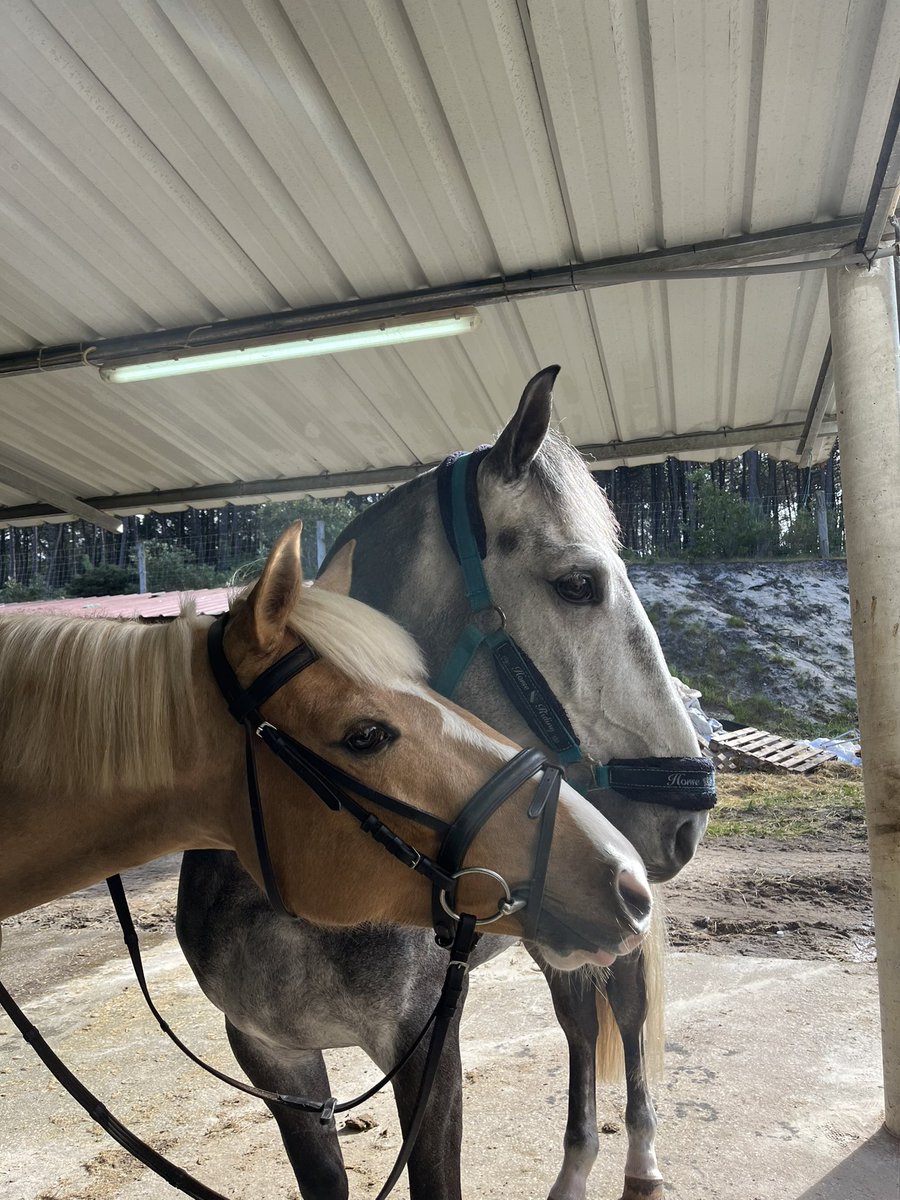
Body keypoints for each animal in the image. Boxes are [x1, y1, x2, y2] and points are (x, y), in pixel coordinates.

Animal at [176, 368, 713, 1200]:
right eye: (579, 584)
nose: (687, 813)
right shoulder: (276, 1064)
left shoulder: (426, 1054)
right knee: (579, 1025)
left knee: (623, 1016)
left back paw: (642, 1164)